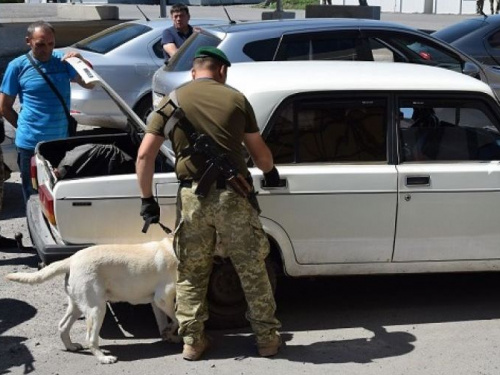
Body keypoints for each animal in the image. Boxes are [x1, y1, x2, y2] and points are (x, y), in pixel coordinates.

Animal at [4, 238, 181, 364]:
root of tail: (71, 260)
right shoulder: (163, 298)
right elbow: (177, 318)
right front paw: (173, 332)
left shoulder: (156, 302)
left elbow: (165, 322)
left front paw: (169, 335)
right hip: (97, 309)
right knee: (90, 338)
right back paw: (103, 358)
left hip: (77, 306)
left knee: (62, 326)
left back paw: (71, 346)